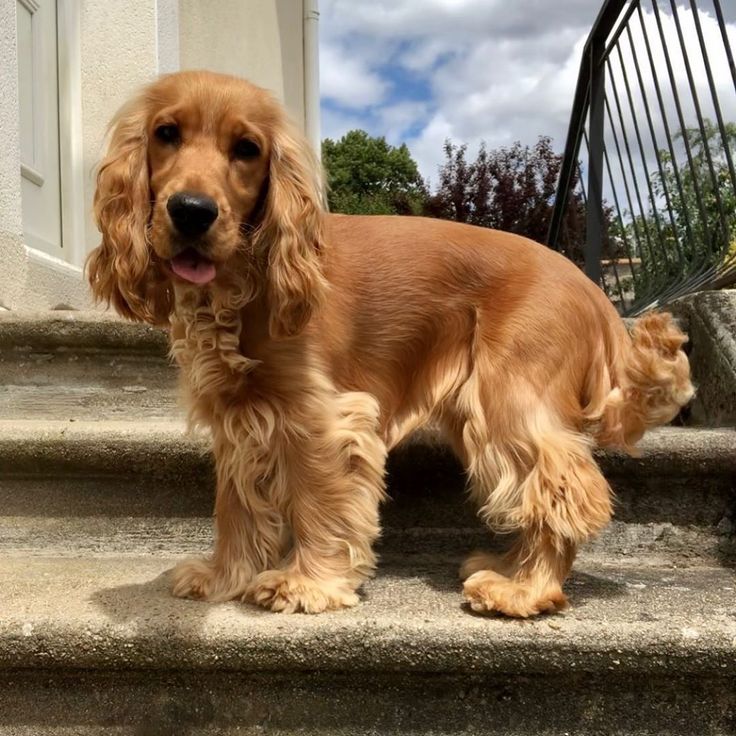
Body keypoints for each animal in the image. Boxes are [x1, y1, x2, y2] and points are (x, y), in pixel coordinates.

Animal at [86, 72, 688, 620]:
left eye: (247, 149)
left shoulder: (323, 416)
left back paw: (524, 589)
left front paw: (305, 584)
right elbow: (234, 506)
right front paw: (222, 577)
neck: (245, 281)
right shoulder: (238, 414)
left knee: (562, 486)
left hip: (507, 399)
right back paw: (509, 567)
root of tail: (594, 292)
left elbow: (317, 501)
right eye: (166, 133)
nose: (192, 211)